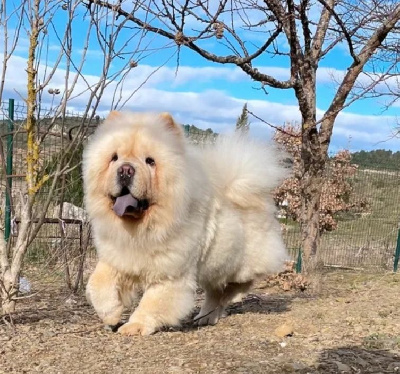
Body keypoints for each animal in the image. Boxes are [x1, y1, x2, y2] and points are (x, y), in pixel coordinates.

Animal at [83, 111, 288, 336]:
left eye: (150, 161)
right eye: (114, 158)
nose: (126, 170)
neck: (140, 229)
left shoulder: (169, 274)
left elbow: (152, 303)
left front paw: (135, 326)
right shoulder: (117, 258)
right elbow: (97, 284)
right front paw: (110, 315)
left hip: (239, 264)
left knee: (237, 285)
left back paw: (228, 298)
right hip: (215, 267)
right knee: (215, 294)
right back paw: (206, 317)